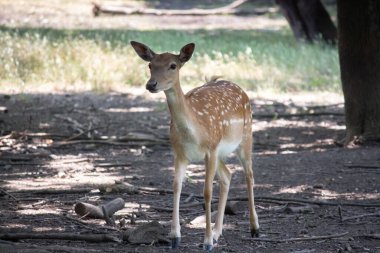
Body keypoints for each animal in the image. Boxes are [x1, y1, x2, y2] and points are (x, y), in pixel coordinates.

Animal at [132, 41, 260, 251]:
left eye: (173, 65)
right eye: (150, 65)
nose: (151, 84)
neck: (193, 132)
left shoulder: (210, 150)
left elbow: (206, 192)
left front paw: (206, 242)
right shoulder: (179, 153)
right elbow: (176, 186)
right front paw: (175, 237)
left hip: (246, 136)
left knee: (249, 175)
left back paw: (254, 228)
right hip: (221, 152)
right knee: (227, 175)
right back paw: (217, 232)